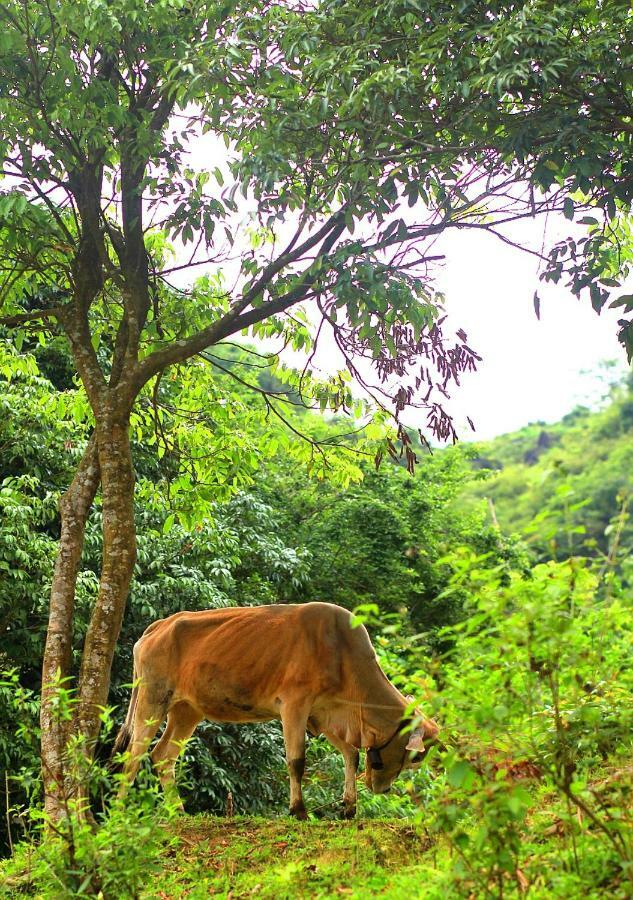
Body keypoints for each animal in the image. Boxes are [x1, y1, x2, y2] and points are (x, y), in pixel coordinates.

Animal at [113, 600, 436, 820]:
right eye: (413, 756)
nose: (383, 788)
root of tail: (160, 626)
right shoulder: (294, 705)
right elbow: (296, 761)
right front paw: (299, 810)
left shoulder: (325, 714)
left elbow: (351, 754)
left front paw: (348, 807)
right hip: (153, 698)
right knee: (134, 754)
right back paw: (120, 810)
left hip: (186, 710)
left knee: (163, 755)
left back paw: (177, 810)